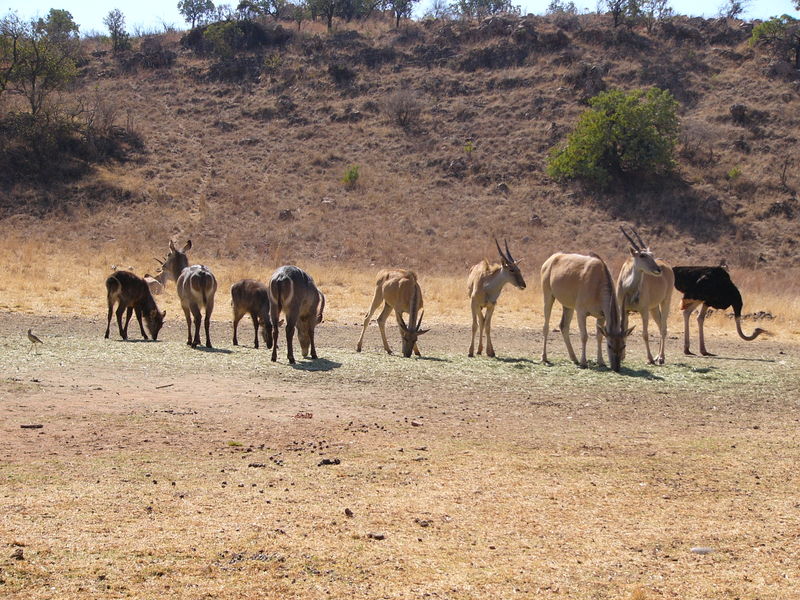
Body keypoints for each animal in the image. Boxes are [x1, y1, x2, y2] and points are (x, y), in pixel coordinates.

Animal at [616, 226, 672, 364]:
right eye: (642, 255)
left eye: (652, 255)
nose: (658, 270)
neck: (628, 287)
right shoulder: (624, 310)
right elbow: (624, 330)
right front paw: (622, 356)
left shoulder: (644, 310)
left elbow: (645, 334)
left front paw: (650, 358)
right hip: (654, 308)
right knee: (661, 326)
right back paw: (658, 356)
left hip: (665, 301)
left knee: (663, 328)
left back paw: (661, 357)